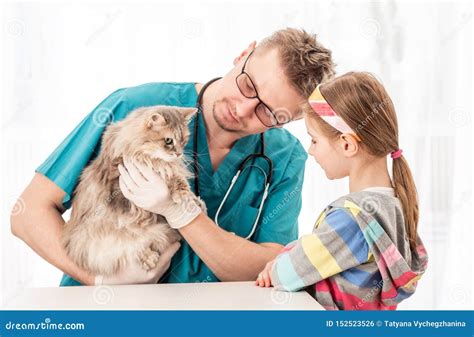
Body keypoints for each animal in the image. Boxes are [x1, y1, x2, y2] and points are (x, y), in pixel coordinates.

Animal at [61, 105, 202, 276]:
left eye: (183, 141)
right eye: (168, 141)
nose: (179, 154)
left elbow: (173, 174)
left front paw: (186, 196)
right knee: (128, 245)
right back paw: (148, 258)